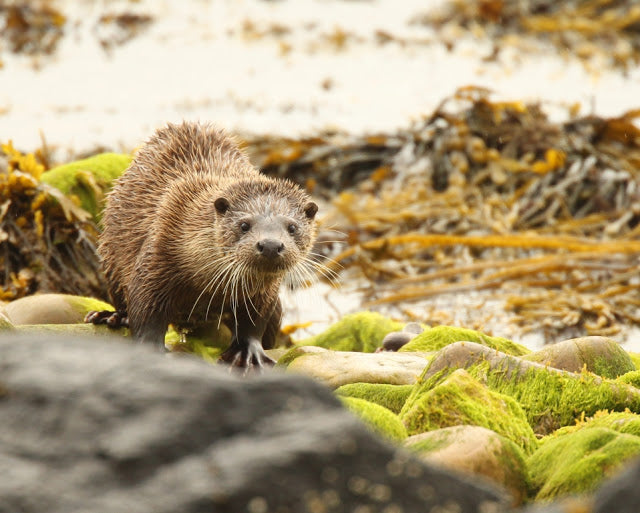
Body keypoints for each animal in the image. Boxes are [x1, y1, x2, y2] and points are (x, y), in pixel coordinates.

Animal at [86, 120, 318, 368]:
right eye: (244, 225)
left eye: (292, 227)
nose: (271, 245)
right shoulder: (157, 255)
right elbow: (145, 308)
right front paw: (151, 351)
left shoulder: (263, 293)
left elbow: (254, 321)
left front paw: (248, 353)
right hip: (111, 258)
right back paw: (112, 316)